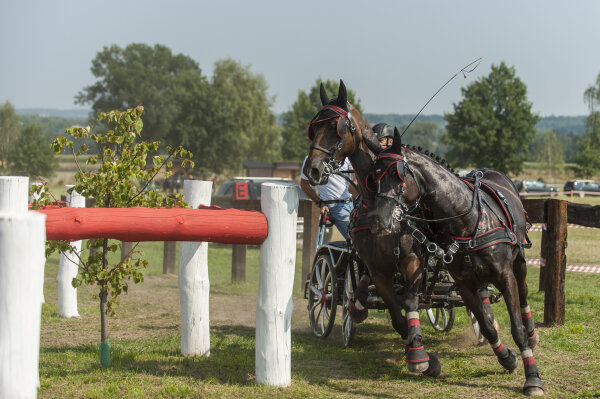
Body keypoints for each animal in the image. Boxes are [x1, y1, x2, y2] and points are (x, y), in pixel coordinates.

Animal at [302, 82, 442, 378]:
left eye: (337, 127)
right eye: (313, 127)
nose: (312, 169)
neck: (375, 200)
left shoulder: (412, 259)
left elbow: (410, 301)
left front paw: (420, 354)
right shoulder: (377, 268)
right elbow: (396, 314)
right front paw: (416, 349)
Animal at [368, 128, 548, 396]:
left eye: (396, 174)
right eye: (373, 177)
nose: (378, 220)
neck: (467, 221)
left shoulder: (504, 277)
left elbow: (516, 328)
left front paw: (533, 377)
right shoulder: (464, 284)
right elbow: (486, 324)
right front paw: (506, 357)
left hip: (519, 262)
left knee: (524, 294)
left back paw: (532, 332)